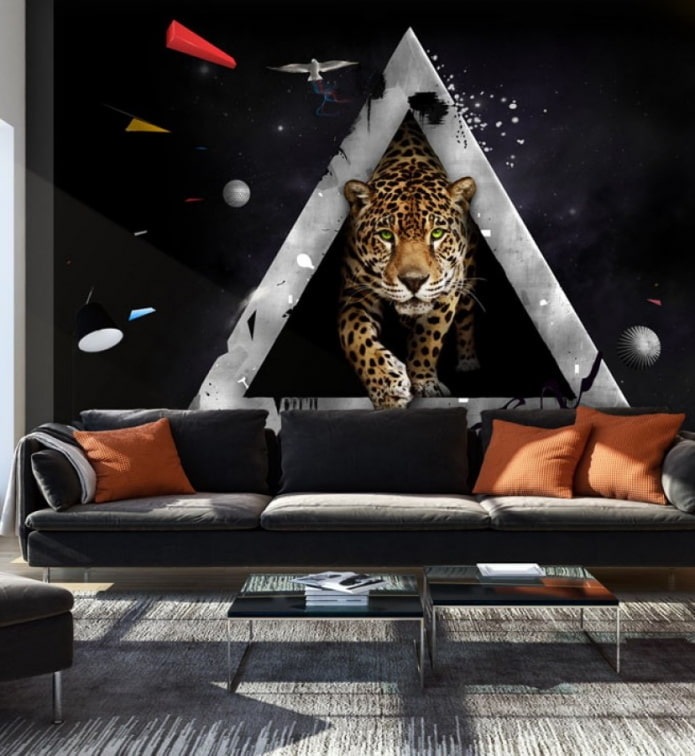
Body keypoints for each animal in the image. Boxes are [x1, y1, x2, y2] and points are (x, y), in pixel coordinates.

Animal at [338, 111, 480, 409]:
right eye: (385, 235)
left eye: (436, 233)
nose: (413, 281)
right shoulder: (355, 293)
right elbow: (356, 337)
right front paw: (388, 388)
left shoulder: (448, 287)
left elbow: (429, 334)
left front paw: (424, 383)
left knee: (466, 316)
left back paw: (468, 362)